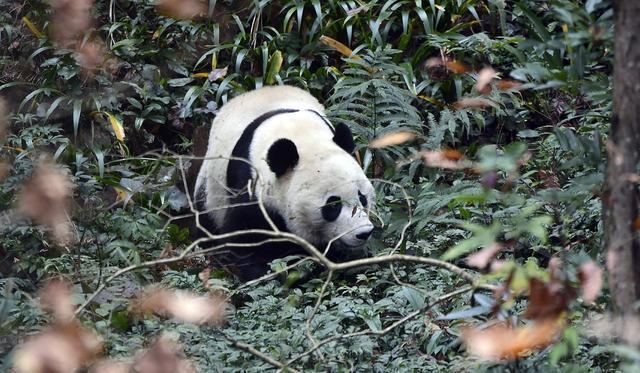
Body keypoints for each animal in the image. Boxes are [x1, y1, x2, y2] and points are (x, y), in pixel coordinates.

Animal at [195, 85, 376, 280]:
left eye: (362, 198)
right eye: (333, 204)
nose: (364, 232)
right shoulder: (249, 183)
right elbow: (246, 238)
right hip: (210, 187)